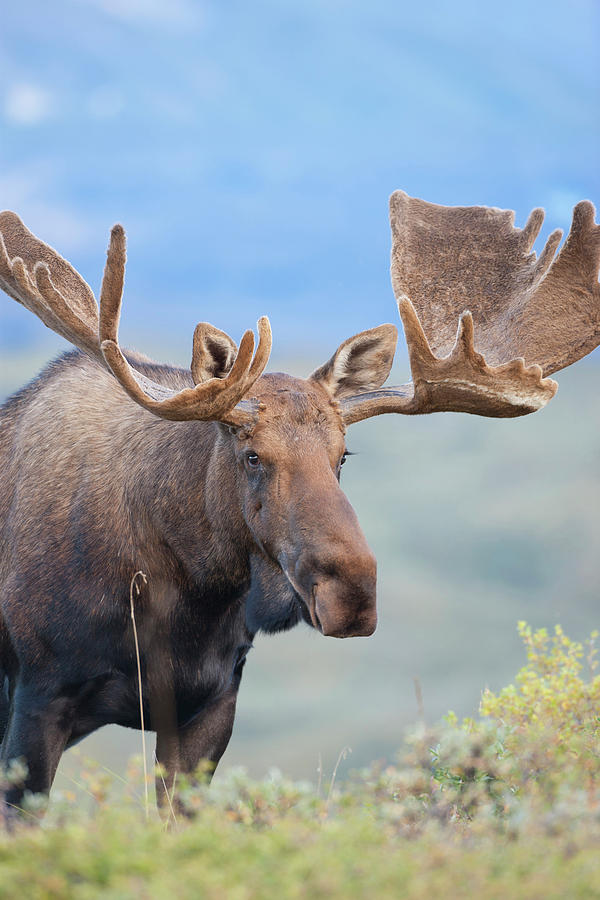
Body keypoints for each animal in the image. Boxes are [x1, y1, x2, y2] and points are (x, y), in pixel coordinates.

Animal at [0, 192, 596, 816]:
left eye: (343, 454)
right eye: (252, 455)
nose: (352, 595)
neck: (182, 592)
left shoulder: (209, 705)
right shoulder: (39, 693)